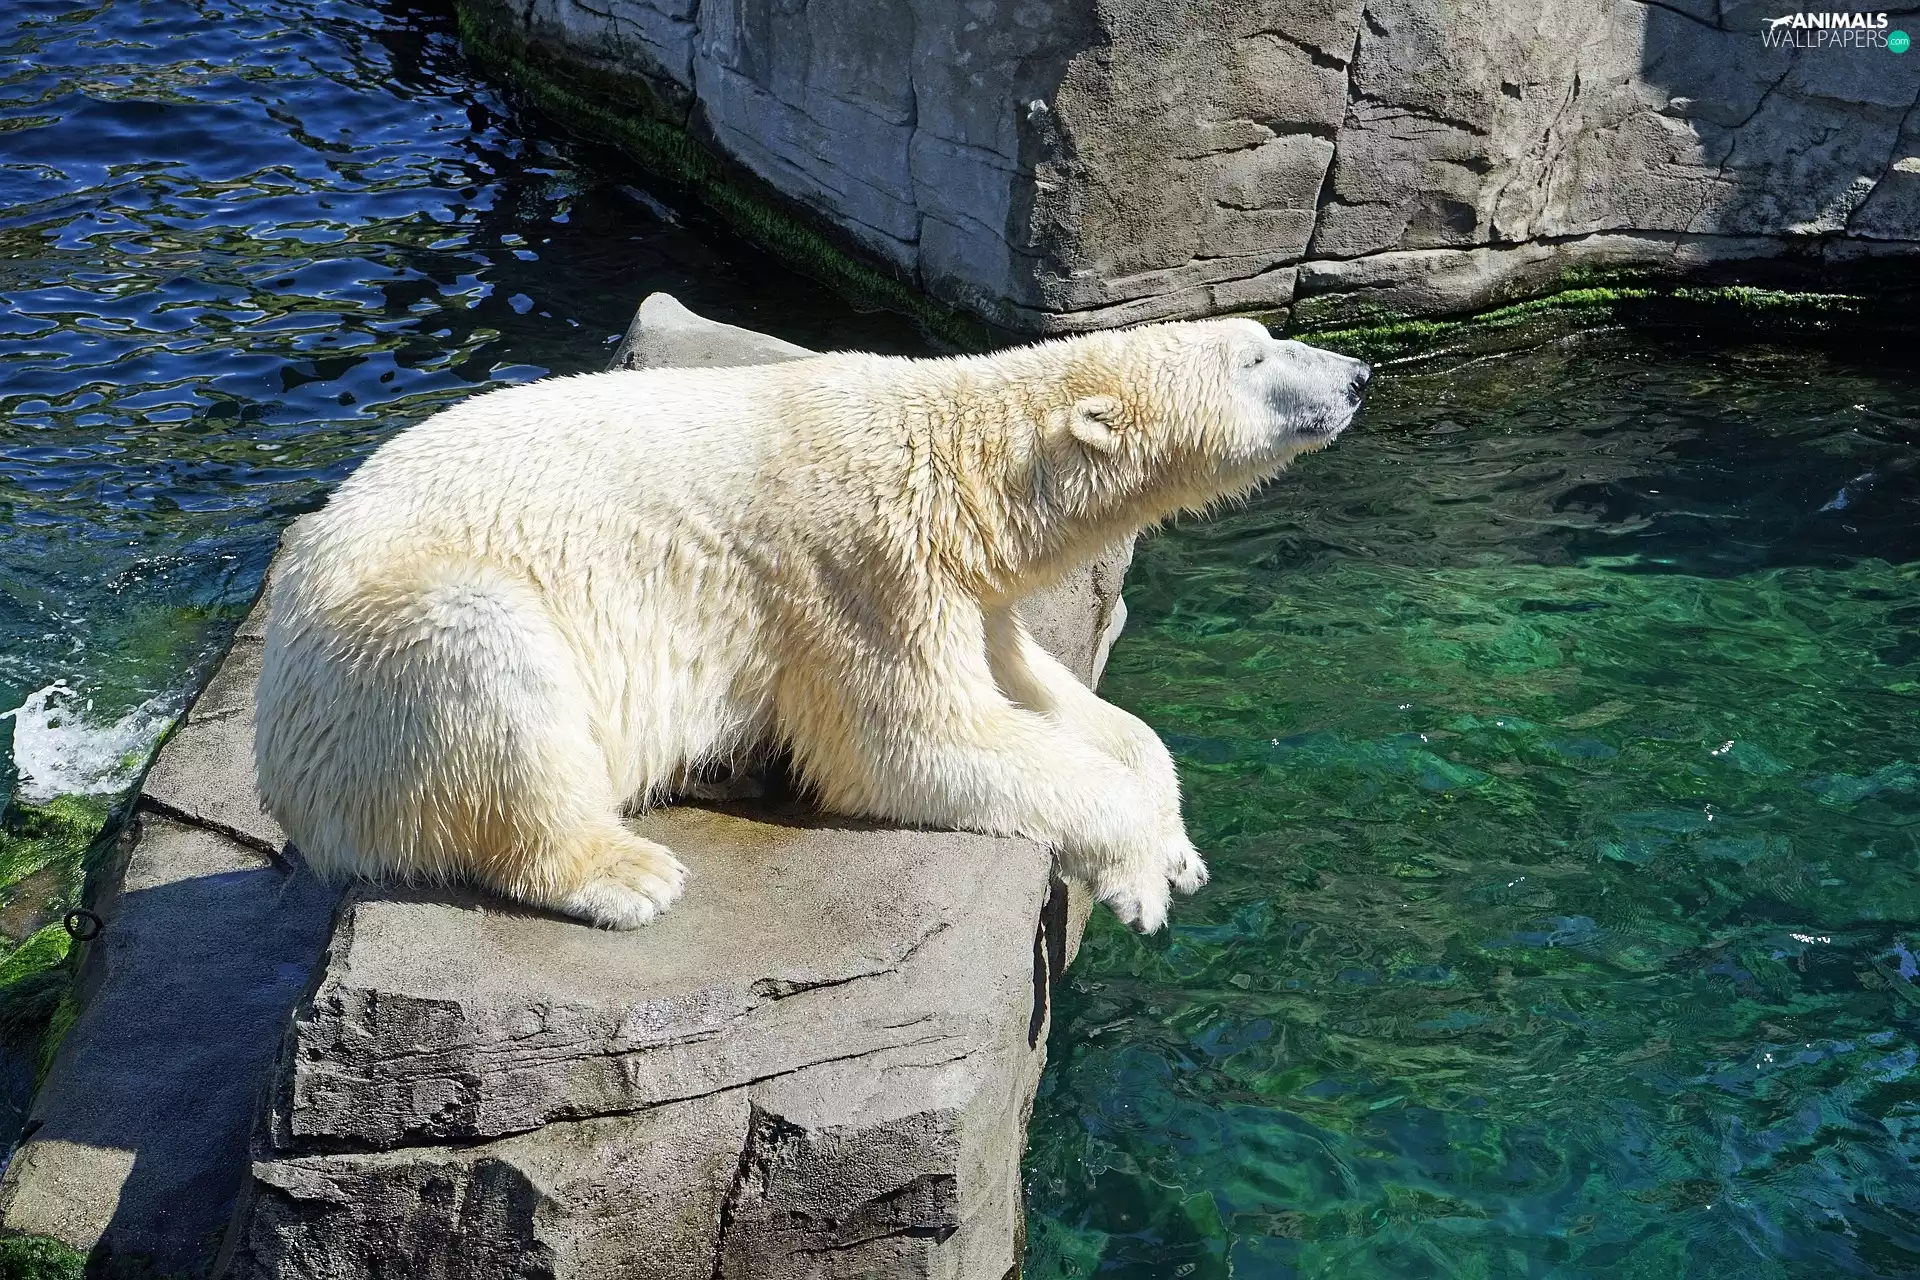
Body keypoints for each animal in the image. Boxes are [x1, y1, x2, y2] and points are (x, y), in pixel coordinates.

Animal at [254, 318, 1369, 933]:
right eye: (1257, 355)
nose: (1357, 375)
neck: (960, 462)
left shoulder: (962, 587)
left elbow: (1051, 698)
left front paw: (1176, 844)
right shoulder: (860, 568)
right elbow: (910, 743)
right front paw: (1139, 875)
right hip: (380, 653)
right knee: (489, 660)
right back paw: (626, 871)